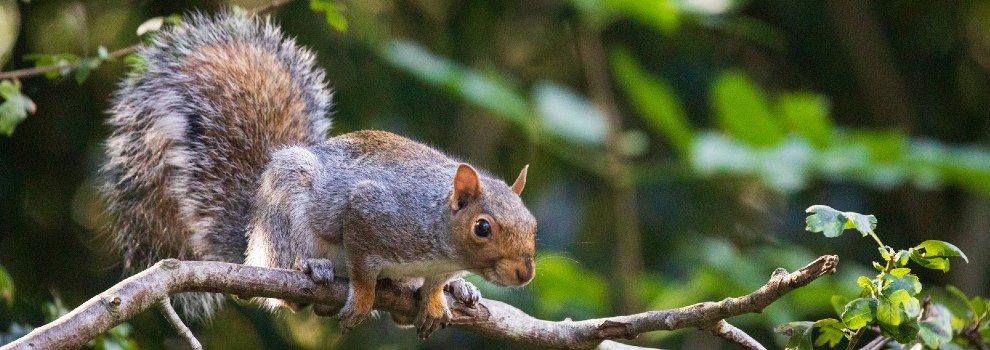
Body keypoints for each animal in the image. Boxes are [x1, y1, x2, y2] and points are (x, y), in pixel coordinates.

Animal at [100, 12, 536, 338]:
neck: (437, 226)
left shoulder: (435, 267)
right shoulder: (372, 213)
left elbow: (431, 286)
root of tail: (253, 242)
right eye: (482, 228)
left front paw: (434, 299)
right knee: (289, 284)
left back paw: (459, 290)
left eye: (533, 224)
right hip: (284, 217)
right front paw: (362, 298)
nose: (525, 272)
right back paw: (311, 268)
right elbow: (361, 266)